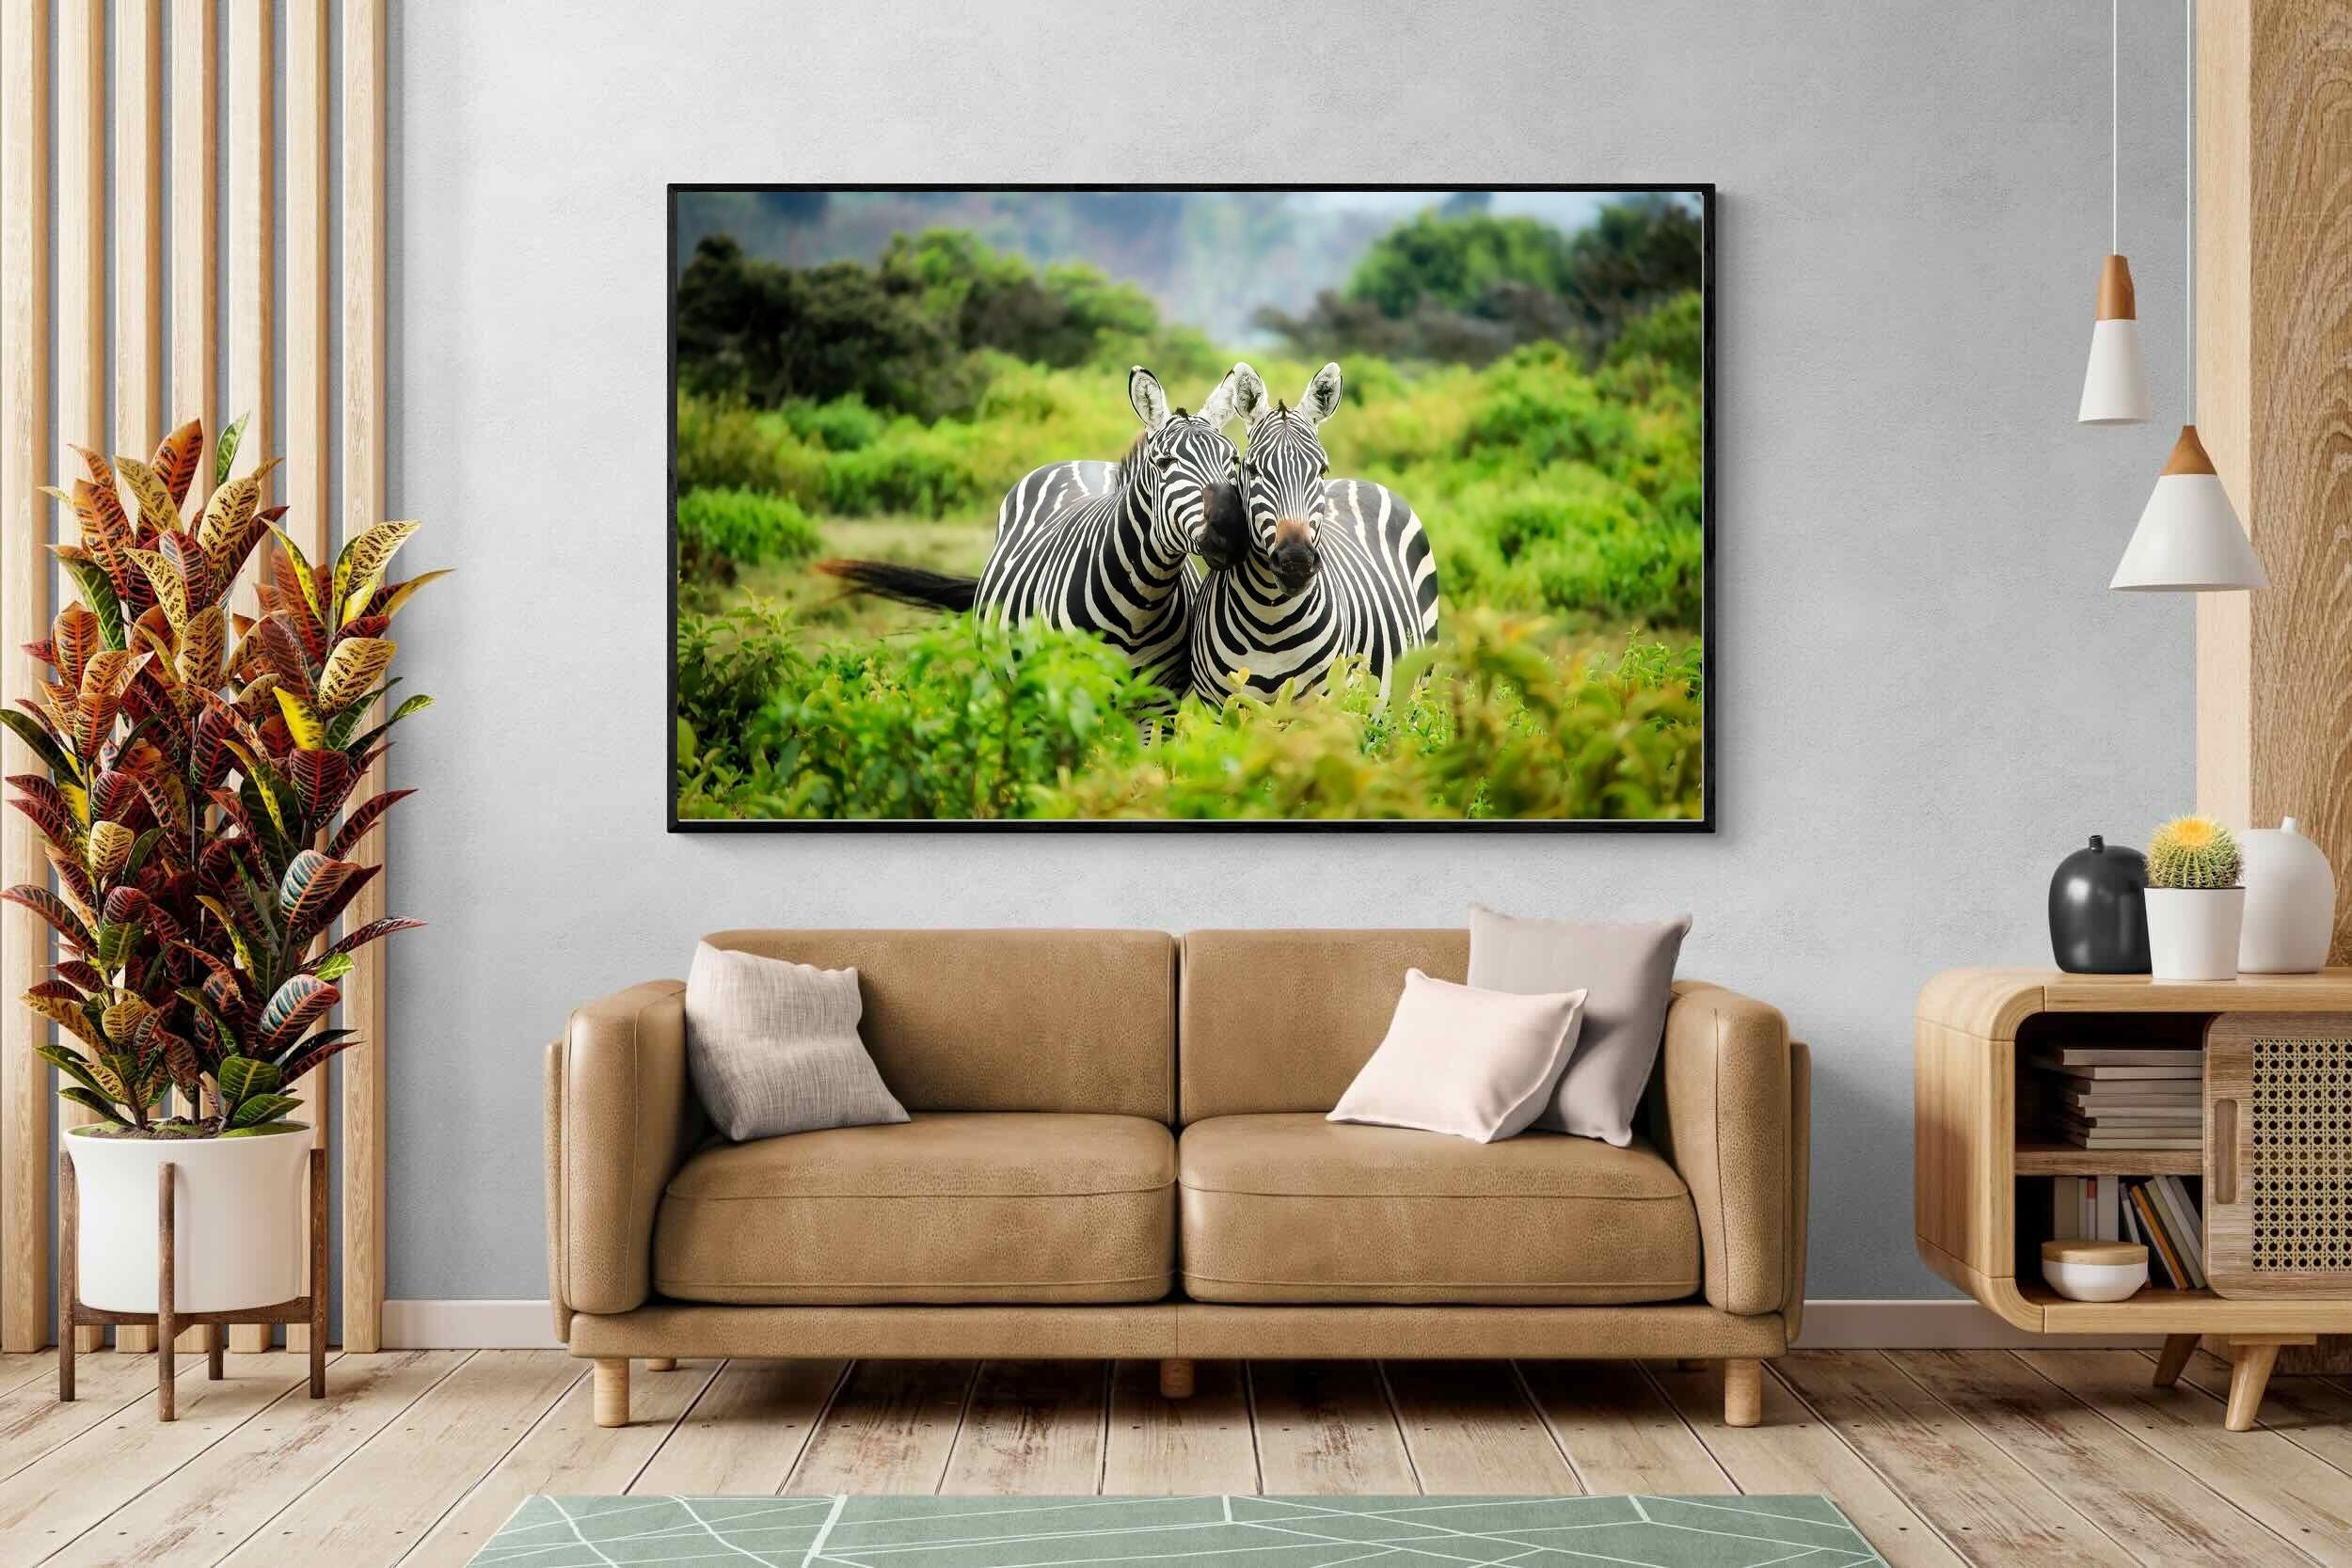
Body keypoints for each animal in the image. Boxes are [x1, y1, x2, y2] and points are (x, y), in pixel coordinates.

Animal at [816, 366, 1243, 701]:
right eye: (1165, 462)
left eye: (1234, 460)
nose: (1229, 527)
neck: (1141, 602)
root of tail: (1081, 461)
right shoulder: (1072, 691)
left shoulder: (1158, 703)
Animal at [1188, 361, 1441, 704]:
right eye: (1252, 470)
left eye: (1321, 469)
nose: (1296, 562)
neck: (1269, 621)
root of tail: (1360, 481)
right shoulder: (1221, 707)